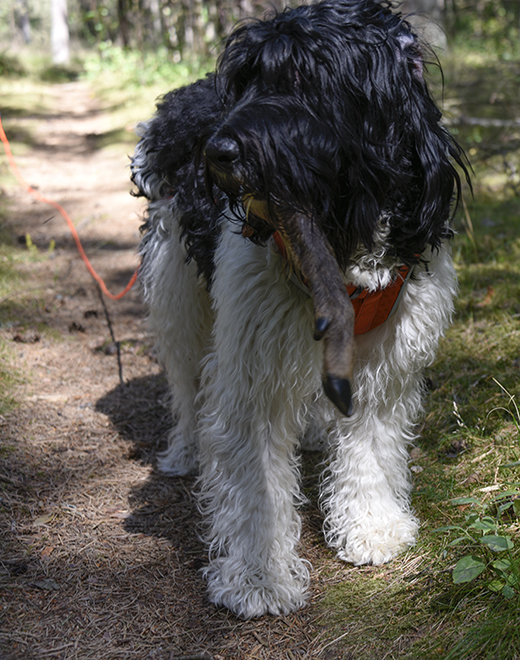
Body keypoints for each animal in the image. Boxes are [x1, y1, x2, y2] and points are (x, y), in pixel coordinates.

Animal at [131, 0, 472, 620]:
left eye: (305, 81)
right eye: (246, 81)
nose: (216, 153)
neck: (339, 237)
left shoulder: (385, 357)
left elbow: (369, 447)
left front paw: (370, 526)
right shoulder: (254, 361)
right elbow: (256, 485)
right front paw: (258, 577)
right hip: (177, 291)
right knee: (186, 384)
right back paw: (186, 448)